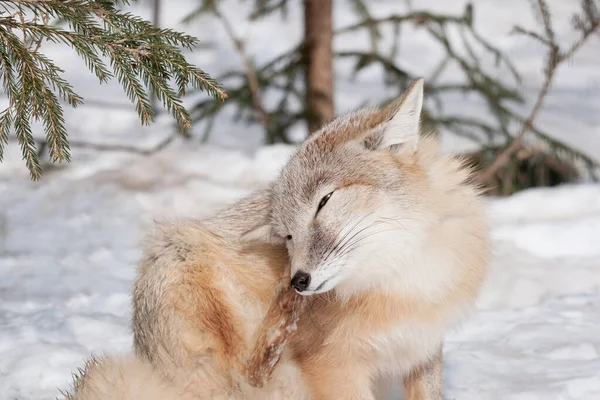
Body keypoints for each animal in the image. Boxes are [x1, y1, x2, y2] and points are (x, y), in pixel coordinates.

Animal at [62, 79, 492, 400]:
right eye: (287, 234)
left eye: (323, 202)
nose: (297, 281)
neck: (404, 281)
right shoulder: (334, 366)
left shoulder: (422, 351)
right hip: (180, 257)